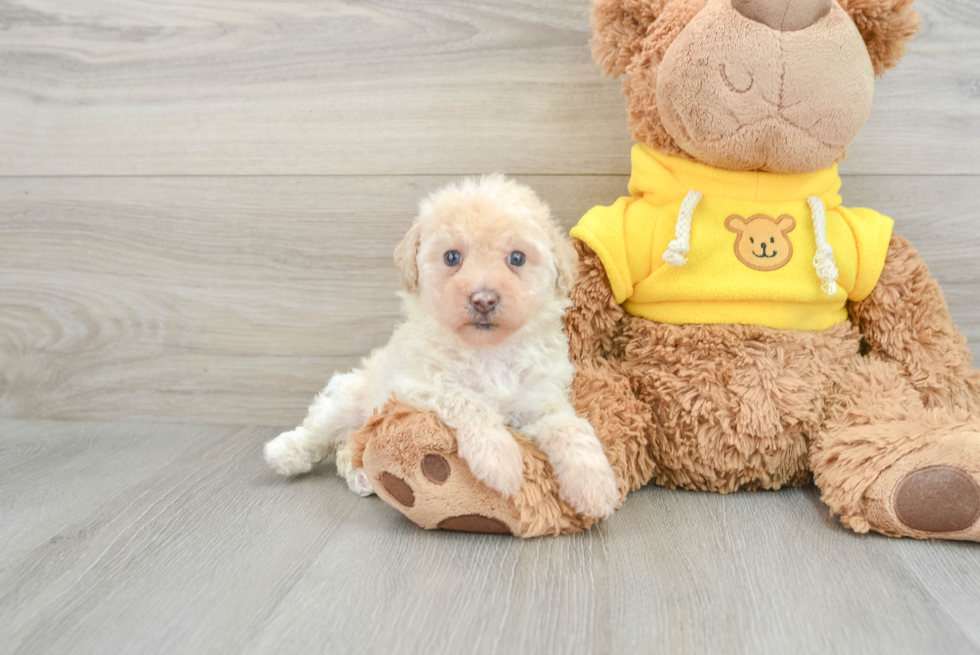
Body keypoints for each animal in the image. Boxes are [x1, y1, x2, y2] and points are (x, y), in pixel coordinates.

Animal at [266, 176, 620, 524]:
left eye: (517, 258)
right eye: (452, 257)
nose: (483, 299)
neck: (488, 351)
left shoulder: (541, 399)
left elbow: (571, 427)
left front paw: (595, 487)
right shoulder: (417, 384)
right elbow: (467, 401)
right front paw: (500, 461)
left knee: (347, 448)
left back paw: (361, 476)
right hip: (345, 398)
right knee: (319, 433)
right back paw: (284, 452)